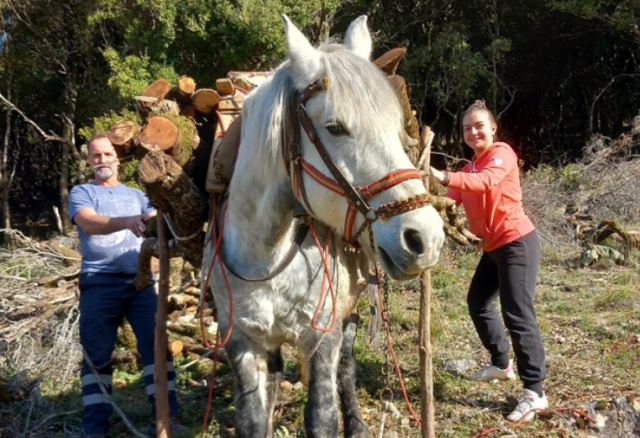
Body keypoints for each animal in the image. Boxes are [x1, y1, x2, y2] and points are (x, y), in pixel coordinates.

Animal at [205, 14, 444, 438]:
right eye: (334, 127)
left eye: (395, 127)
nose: (424, 238)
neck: (268, 257)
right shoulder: (243, 341)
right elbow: (252, 420)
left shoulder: (323, 335)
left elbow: (322, 417)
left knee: (346, 367)